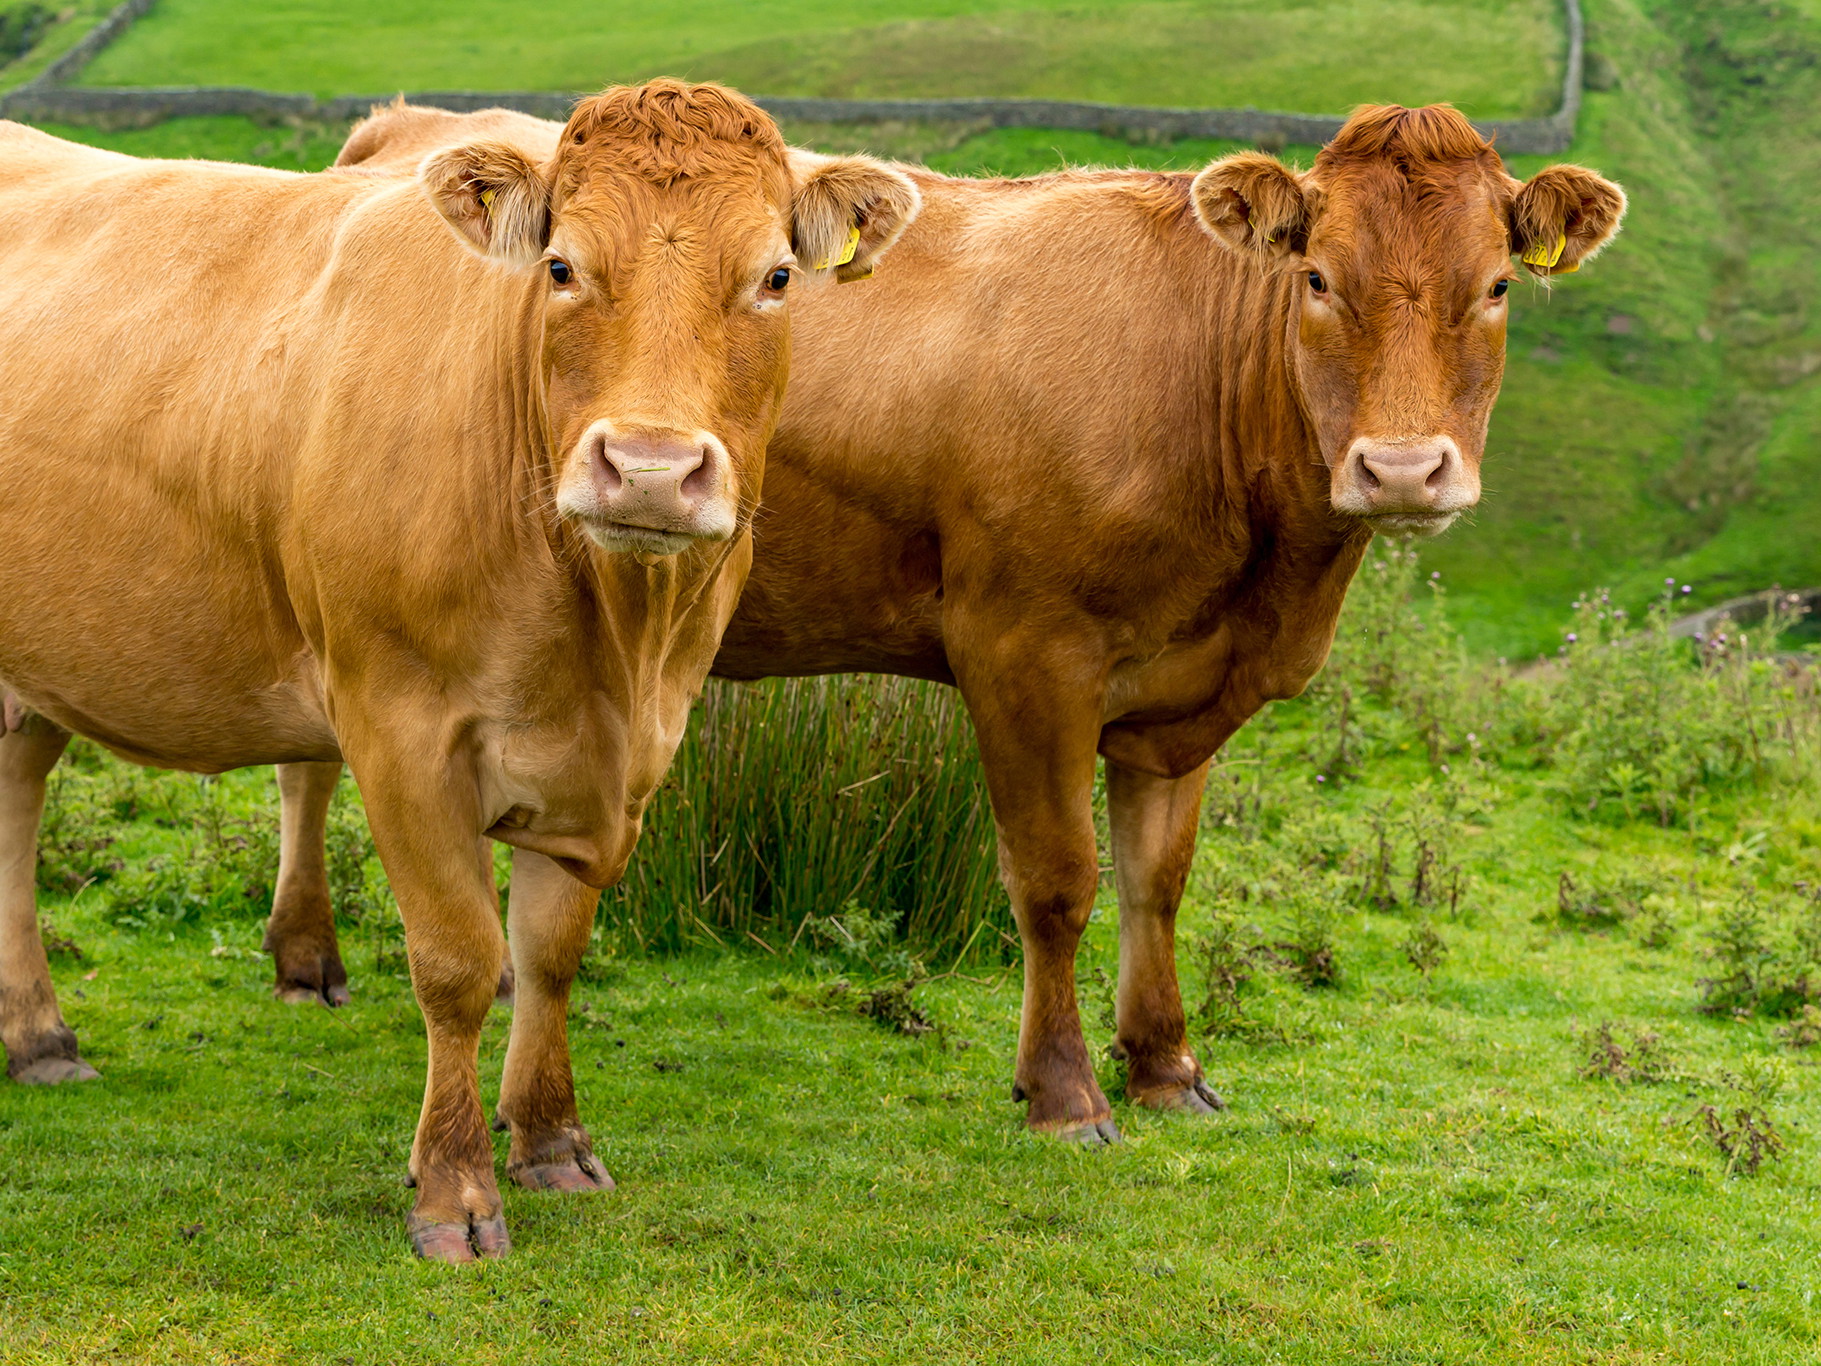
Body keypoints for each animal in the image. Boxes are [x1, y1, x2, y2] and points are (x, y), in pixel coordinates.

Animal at [0, 80, 919, 1261]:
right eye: (561, 267)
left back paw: (37, 1034)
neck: (609, 640)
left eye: (775, 277)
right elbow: (458, 960)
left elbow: (551, 949)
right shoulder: (397, 726)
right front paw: (454, 1189)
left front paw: (549, 1140)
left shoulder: (627, 752)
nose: (651, 470)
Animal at [286, 100, 1620, 1143]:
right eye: (1319, 279)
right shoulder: (1025, 651)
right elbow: (1059, 880)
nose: (1403, 470)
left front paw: (1167, 1064)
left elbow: (1160, 880)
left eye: (1497, 288)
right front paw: (1066, 1090)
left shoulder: (1180, 694)